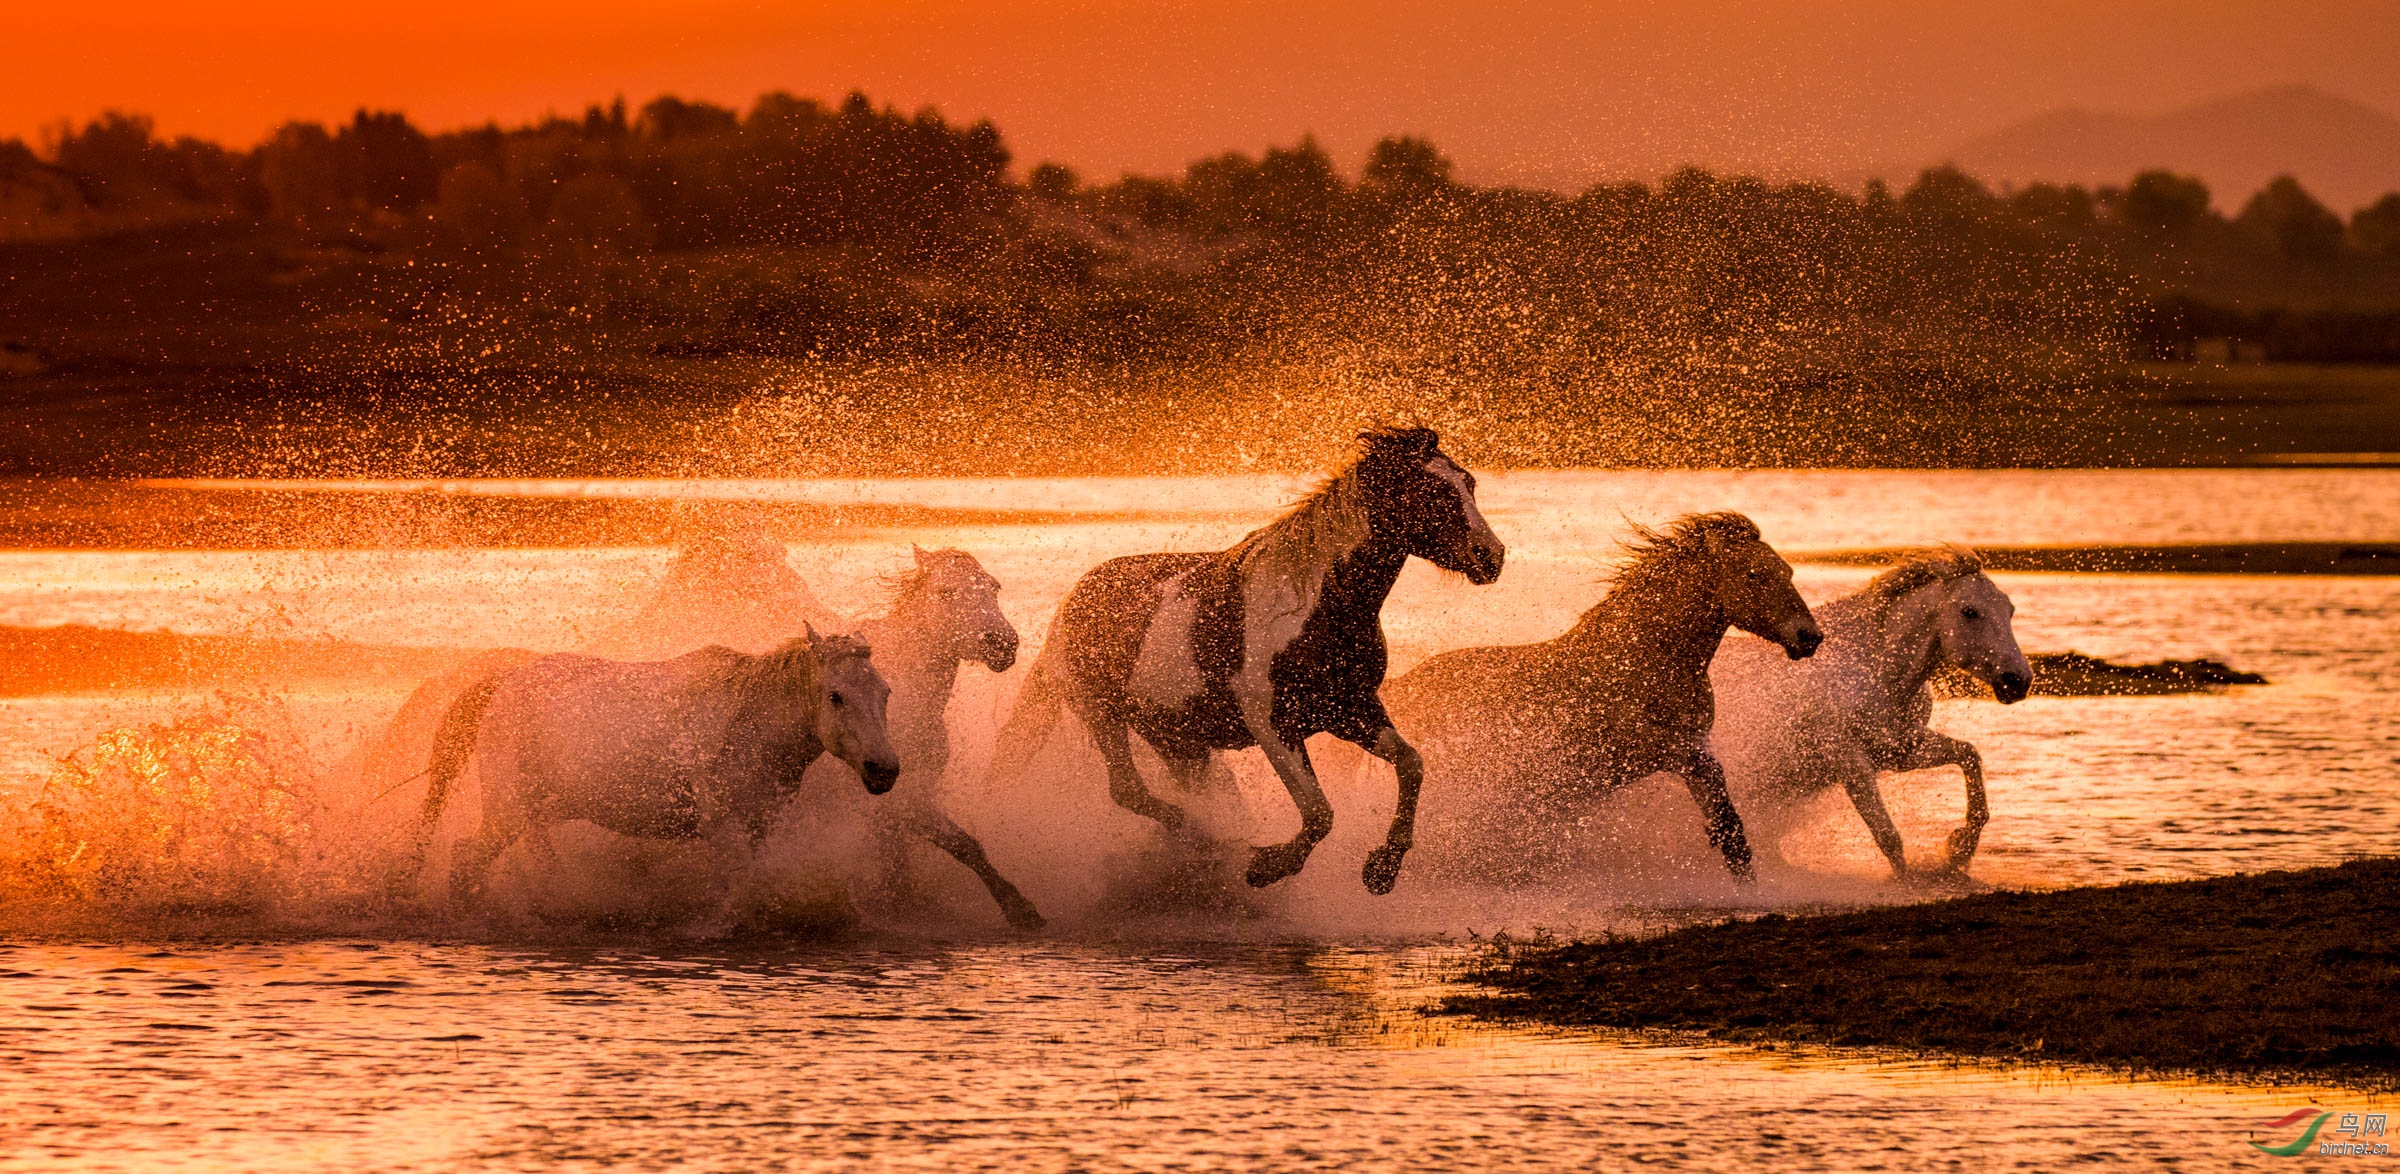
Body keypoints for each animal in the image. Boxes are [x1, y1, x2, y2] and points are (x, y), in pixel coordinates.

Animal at [412, 629, 902, 902]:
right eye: (836, 695)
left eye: (886, 692)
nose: (884, 769)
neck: (751, 724)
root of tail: (502, 684)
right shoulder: (723, 829)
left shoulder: (763, 824)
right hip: (508, 809)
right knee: (465, 859)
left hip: (541, 810)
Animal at [859, 544, 1046, 926]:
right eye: (946, 592)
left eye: (994, 587)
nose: (1002, 644)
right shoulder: (903, 798)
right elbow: (964, 844)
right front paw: (1018, 907)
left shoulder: (911, 793)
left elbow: (895, 853)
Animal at [988, 424, 1497, 893]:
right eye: (1429, 490)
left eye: (1469, 483)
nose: (1491, 556)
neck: (1315, 609)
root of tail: (1069, 605)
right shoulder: (1272, 722)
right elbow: (1319, 813)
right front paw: (1267, 866)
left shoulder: (1350, 708)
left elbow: (1411, 764)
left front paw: (1382, 869)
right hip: (1103, 713)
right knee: (1131, 790)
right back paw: (1208, 842)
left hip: (1177, 739)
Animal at [1708, 549, 2025, 878]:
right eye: (1969, 611)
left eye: (2009, 610)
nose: (2018, 680)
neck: (1877, 674)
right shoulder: (1851, 763)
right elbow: (1888, 836)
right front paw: (1907, 879)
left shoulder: (1901, 751)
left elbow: (1969, 756)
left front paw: (1959, 847)